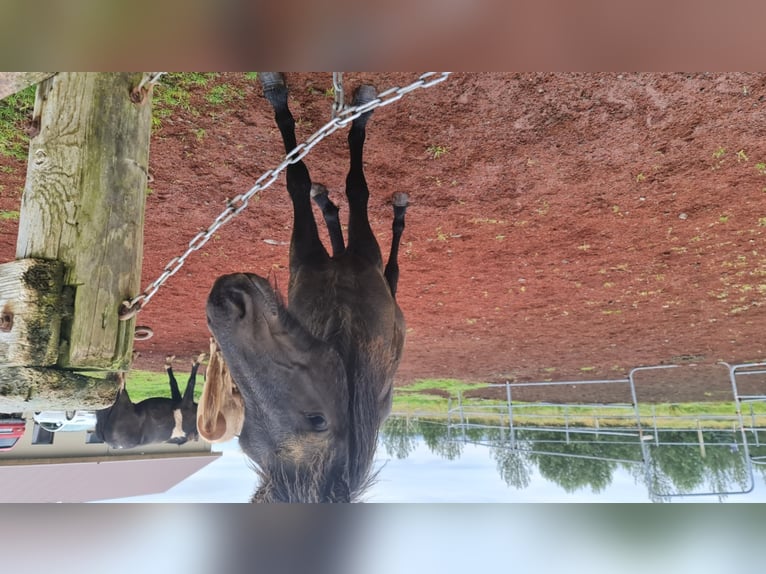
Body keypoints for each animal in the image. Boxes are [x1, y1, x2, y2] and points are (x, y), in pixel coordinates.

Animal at [205, 72, 408, 502]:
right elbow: (311, 179)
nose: (223, 304)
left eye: (317, 420)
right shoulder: (331, 255)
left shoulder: (345, 254)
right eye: (246, 440)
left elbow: (320, 180)